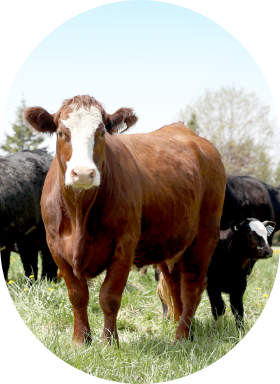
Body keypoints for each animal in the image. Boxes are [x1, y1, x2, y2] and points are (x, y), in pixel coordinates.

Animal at [23, 95, 226, 344]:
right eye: (61, 132)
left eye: (101, 132)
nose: (83, 173)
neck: (80, 213)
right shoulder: (55, 246)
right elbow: (77, 295)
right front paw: (81, 340)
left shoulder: (124, 244)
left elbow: (109, 297)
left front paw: (109, 342)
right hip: (168, 240)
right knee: (173, 283)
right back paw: (180, 326)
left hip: (205, 234)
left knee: (193, 285)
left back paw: (183, 335)